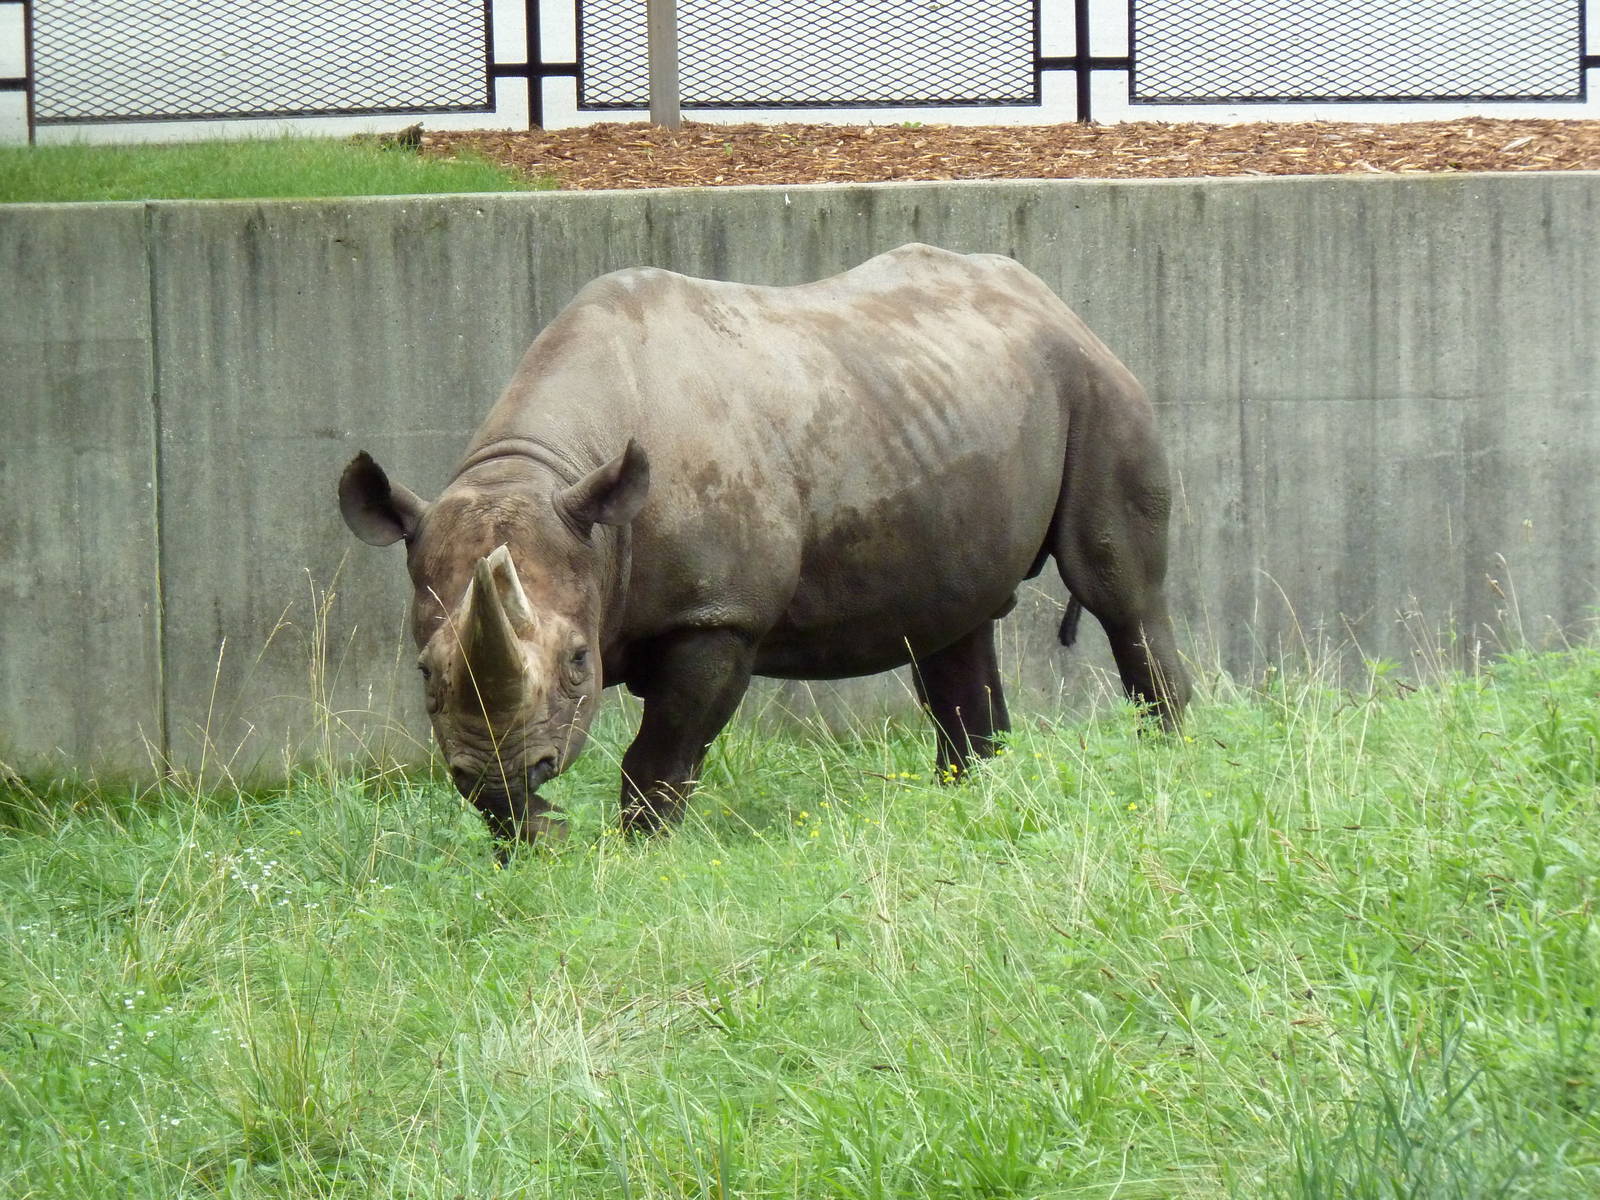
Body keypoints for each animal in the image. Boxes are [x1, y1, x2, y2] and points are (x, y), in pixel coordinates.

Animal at [339, 244, 1188, 843]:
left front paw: (641, 854)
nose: (501, 771)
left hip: (1094, 385)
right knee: (954, 623)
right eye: (424, 671)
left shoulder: (719, 615)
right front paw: (530, 838)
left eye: (580, 662)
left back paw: (1168, 760)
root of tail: (1053, 299)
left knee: (1121, 593)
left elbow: (662, 756)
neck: (549, 469)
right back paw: (967, 799)